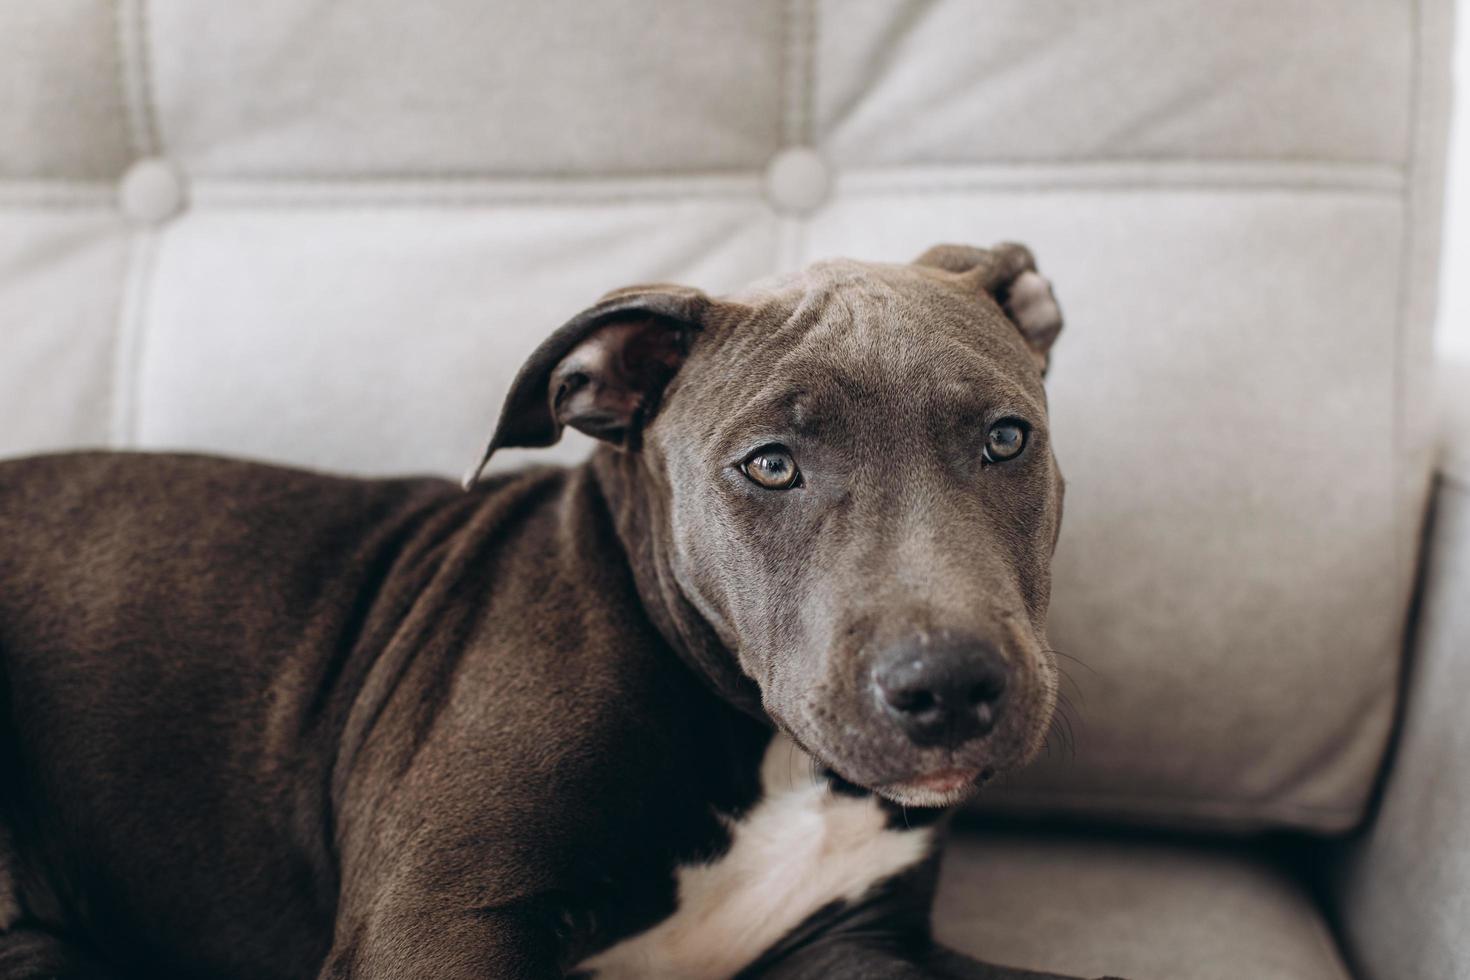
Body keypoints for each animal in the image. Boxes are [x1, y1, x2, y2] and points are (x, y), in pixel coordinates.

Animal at [0, 239, 1105, 980]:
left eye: (1007, 438)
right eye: (770, 464)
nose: (950, 685)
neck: (761, 750)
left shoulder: (855, 940)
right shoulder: (436, 924)